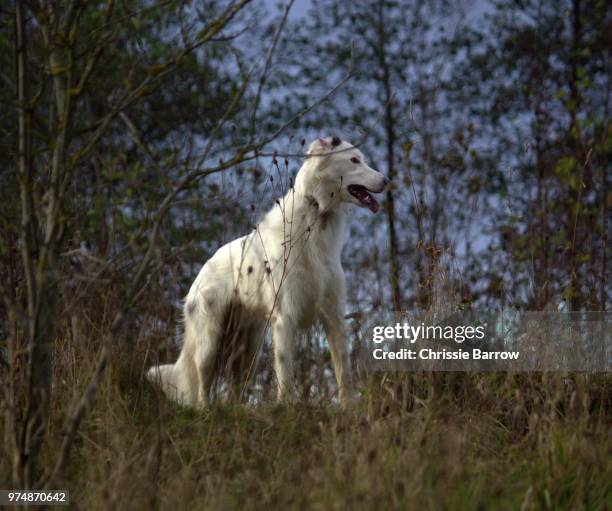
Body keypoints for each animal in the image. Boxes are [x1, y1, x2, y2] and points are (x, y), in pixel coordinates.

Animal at [148, 136, 388, 408]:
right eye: (354, 160)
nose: (386, 181)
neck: (317, 213)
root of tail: (201, 273)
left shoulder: (333, 315)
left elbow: (343, 372)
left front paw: (349, 407)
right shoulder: (285, 318)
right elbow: (286, 374)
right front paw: (289, 407)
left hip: (248, 351)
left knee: (234, 392)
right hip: (210, 341)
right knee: (202, 383)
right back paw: (206, 409)